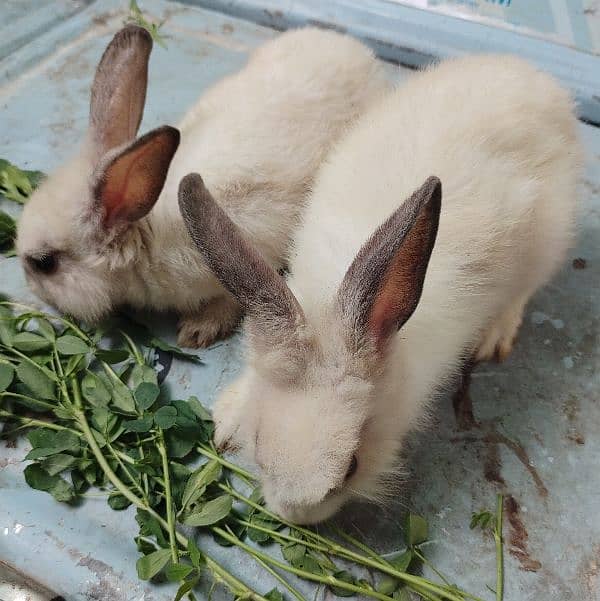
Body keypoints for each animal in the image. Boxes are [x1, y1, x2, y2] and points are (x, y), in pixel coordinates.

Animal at [178, 54, 580, 524]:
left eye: (350, 466)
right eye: (259, 442)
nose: (293, 516)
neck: (332, 306)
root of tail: (535, 79)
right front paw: (228, 419)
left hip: (548, 241)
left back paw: (494, 336)